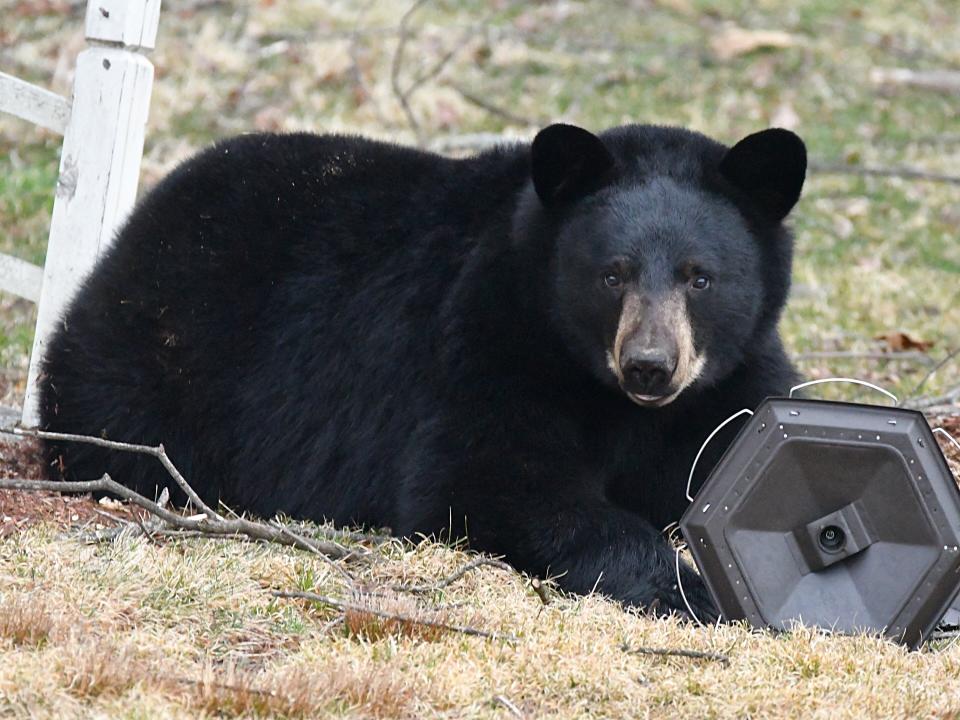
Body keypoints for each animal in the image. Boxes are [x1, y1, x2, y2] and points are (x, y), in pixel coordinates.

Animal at [39, 121, 804, 616]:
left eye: (699, 277)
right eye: (612, 274)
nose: (649, 366)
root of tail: (139, 227)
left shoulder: (730, 382)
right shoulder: (486, 345)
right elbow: (489, 481)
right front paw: (692, 586)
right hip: (149, 367)